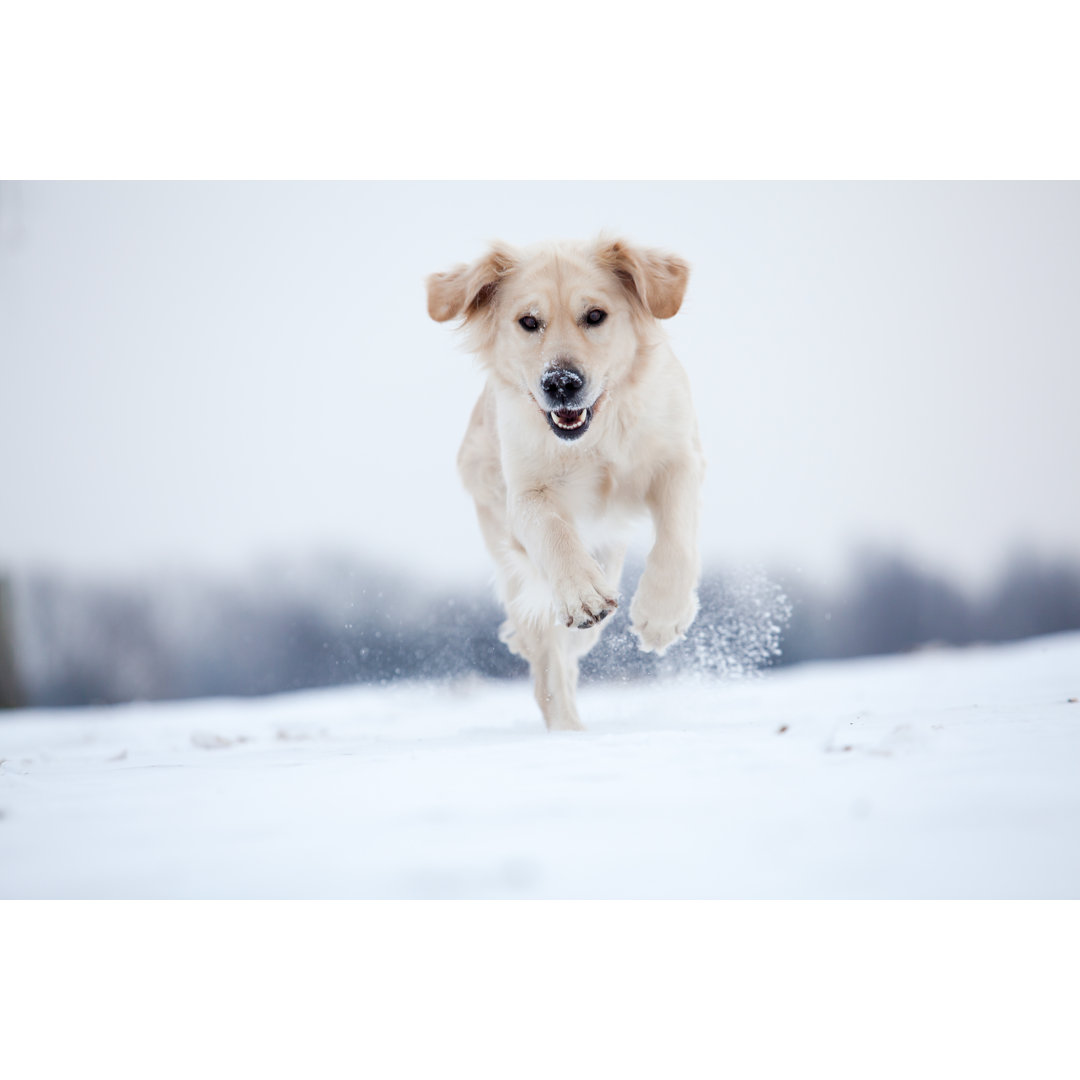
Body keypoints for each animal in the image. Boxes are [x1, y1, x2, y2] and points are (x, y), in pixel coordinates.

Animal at [425, 232, 704, 730]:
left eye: (595, 316)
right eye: (528, 322)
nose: (560, 383)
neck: (596, 434)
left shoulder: (677, 457)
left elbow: (676, 538)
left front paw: (661, 614)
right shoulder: (525, 494)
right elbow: (552, 531)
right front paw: (582, 595)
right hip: (518, 573)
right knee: (549, 672)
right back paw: (569, 732)